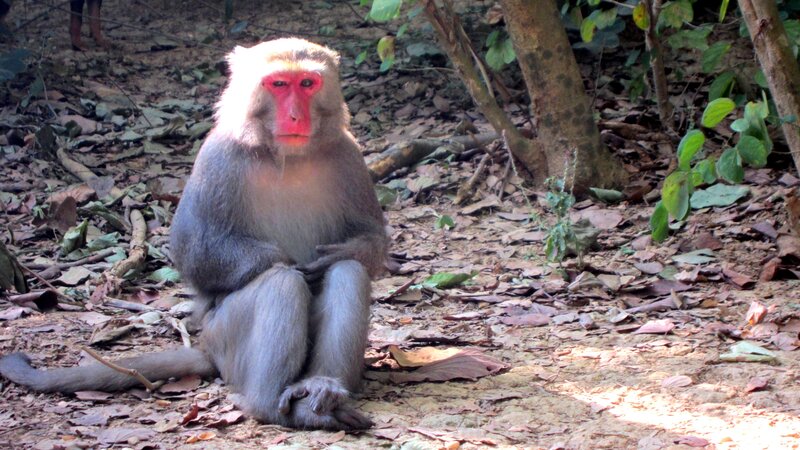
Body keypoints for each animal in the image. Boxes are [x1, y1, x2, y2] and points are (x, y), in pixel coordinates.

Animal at [0, 38, 388, 431]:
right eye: (279, 84)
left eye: (307, 84)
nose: (296, 116)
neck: (286, 156)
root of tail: (208, 350)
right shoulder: (217, 159)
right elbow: (193, 253)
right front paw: (284, 260)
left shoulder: (349, 156)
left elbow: (371, 239)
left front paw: (336, 255)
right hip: (224, 338)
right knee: (279, 284)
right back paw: (272, 402)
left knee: (348, 273)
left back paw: (322, 388)